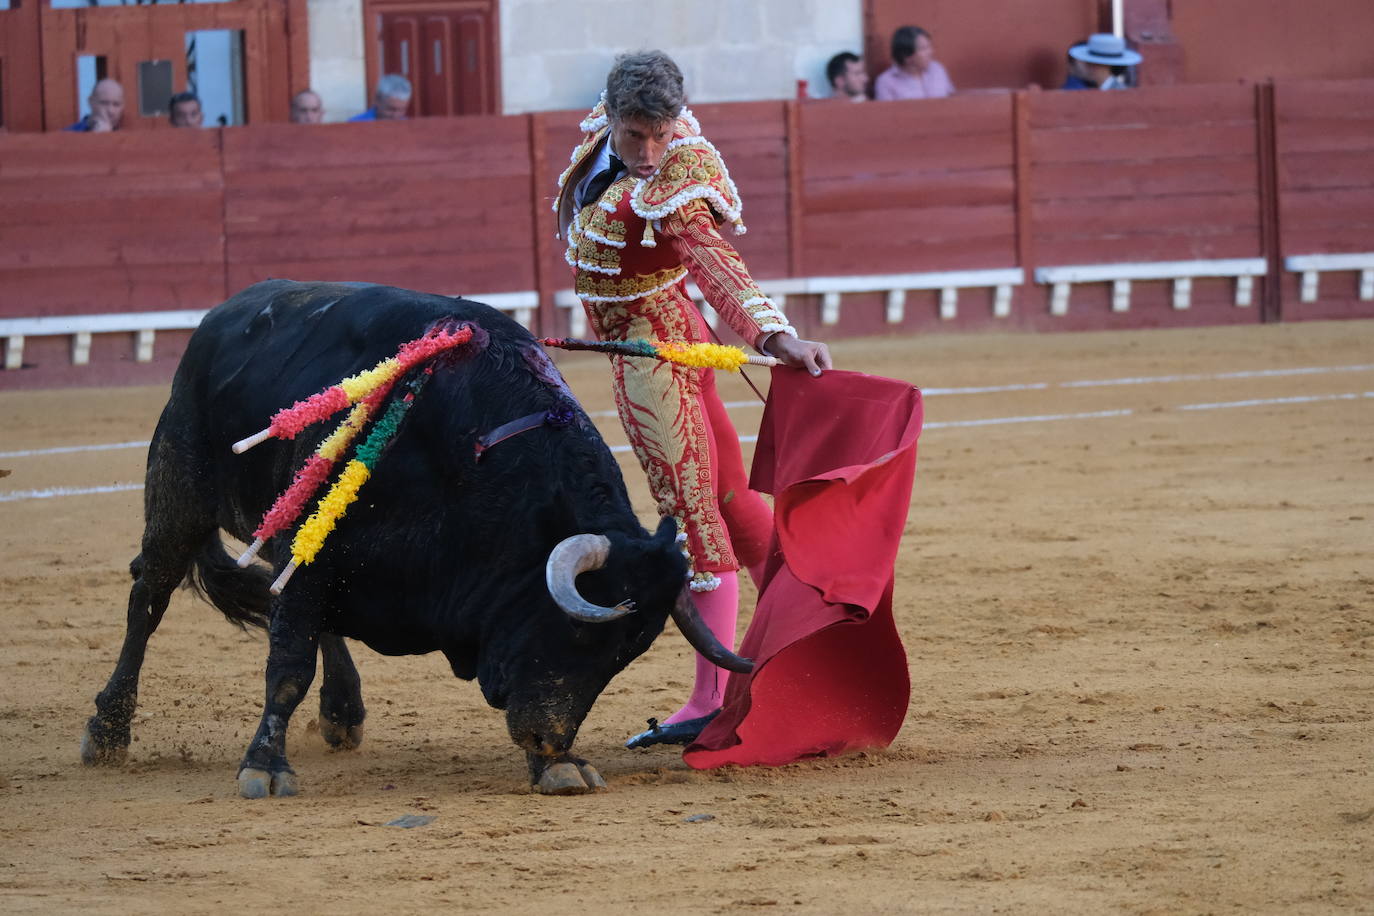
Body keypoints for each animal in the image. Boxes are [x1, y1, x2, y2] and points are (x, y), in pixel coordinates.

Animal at [80, 280, 752, 796]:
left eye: (625, 656)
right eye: (579, 633)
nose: (549, 739)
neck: (474, 460)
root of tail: (221, 316)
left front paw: (559, 766)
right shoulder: (313, 553)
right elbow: (289, 664)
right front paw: (264, 769)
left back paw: (343, 711)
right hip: (181, 493)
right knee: (149, 599)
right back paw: (107, 732)